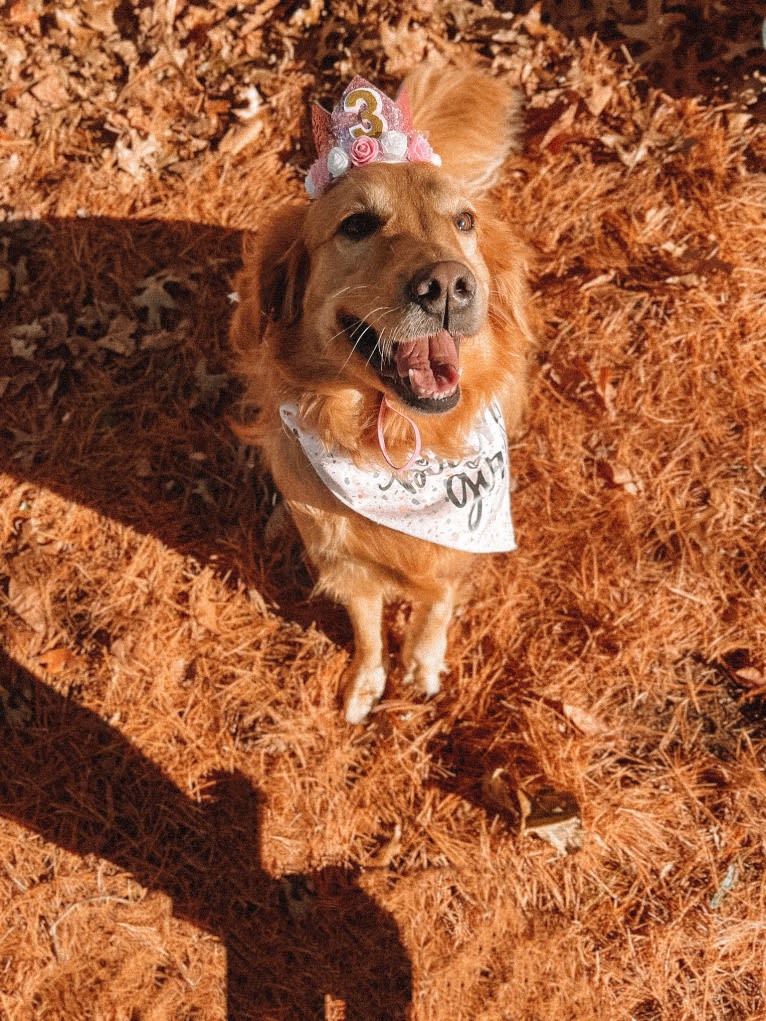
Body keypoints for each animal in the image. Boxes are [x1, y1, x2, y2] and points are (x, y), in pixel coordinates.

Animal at [230, 63, 535, 722]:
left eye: (464, 221)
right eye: (358, 225)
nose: (447, 284)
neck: (394, 444)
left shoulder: (456, 552)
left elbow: (435, 606)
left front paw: (421, 663)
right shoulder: (348, 567)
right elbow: (368, 629)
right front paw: (368, 682)